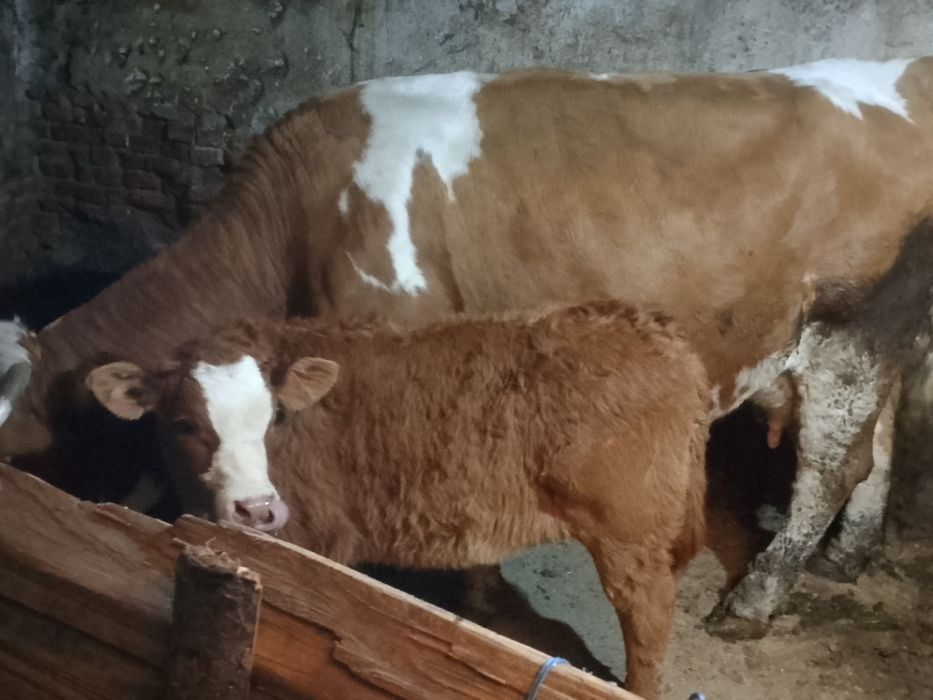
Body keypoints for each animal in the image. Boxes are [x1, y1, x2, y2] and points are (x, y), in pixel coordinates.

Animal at [2, 57, 933, 631]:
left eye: (15, 438)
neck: (297, 223)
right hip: (873, 339)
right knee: (881, 438)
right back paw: (847, 555)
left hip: (847, 326)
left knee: (834, 462)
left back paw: (756, 600)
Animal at [85, 301, 710, 699]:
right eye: (185, 425)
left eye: (276, 418)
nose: (258, 509)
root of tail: (658, 330)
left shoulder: (313, 540)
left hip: (628, 533)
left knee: (648, 612)